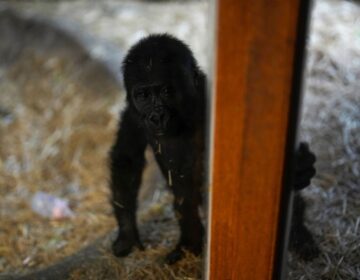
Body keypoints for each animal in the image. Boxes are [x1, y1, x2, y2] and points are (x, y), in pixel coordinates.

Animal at [109, 34, 318, 264]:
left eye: (166, 91)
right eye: (143, 95)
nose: (157, 116)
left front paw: (299, 169)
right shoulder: (133, 115)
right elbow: (127, 160)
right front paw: (127, 234)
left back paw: (299, 234)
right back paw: (189, 242)